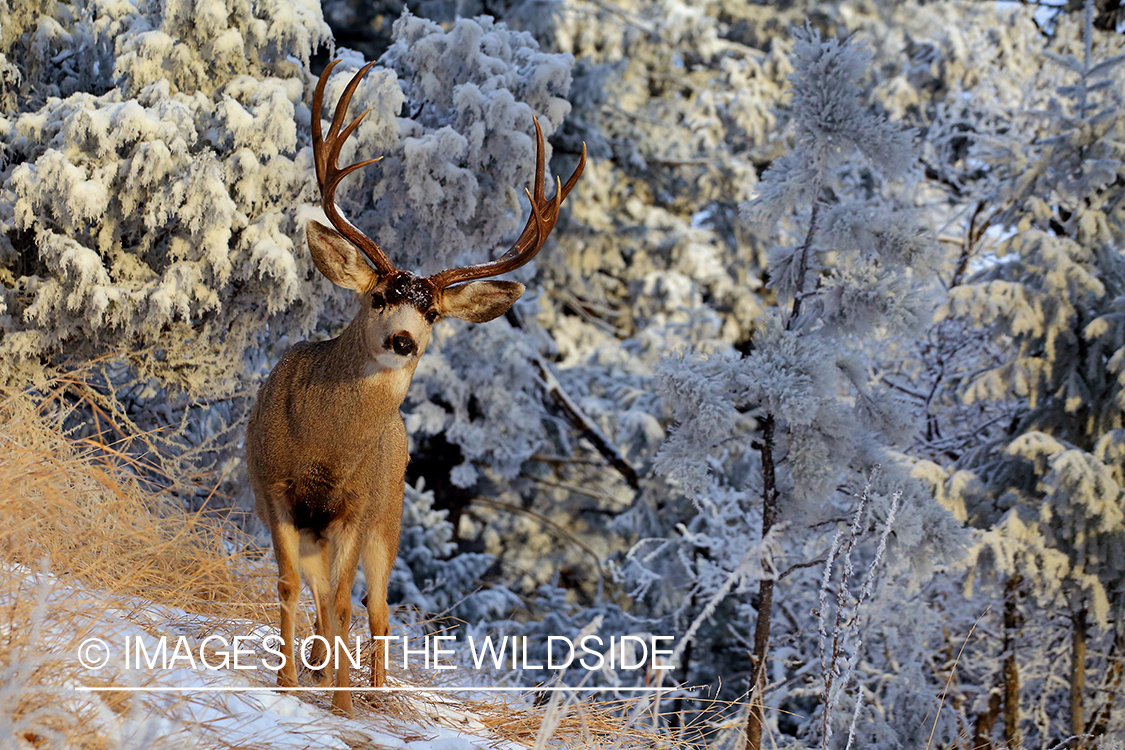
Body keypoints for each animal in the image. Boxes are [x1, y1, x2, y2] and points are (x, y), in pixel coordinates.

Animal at [245, 59, 585, 716]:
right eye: (379, 295)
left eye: (431, 313)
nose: (403, 340)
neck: (324, 451)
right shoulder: (273, 487)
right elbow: (290, 585)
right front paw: (289, 684)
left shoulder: (356, 508)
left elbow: (346, 604)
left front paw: (343, 705)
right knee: (326, 597)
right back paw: (320, 666)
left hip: (390, 518)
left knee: (373, 609)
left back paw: (370, 691)